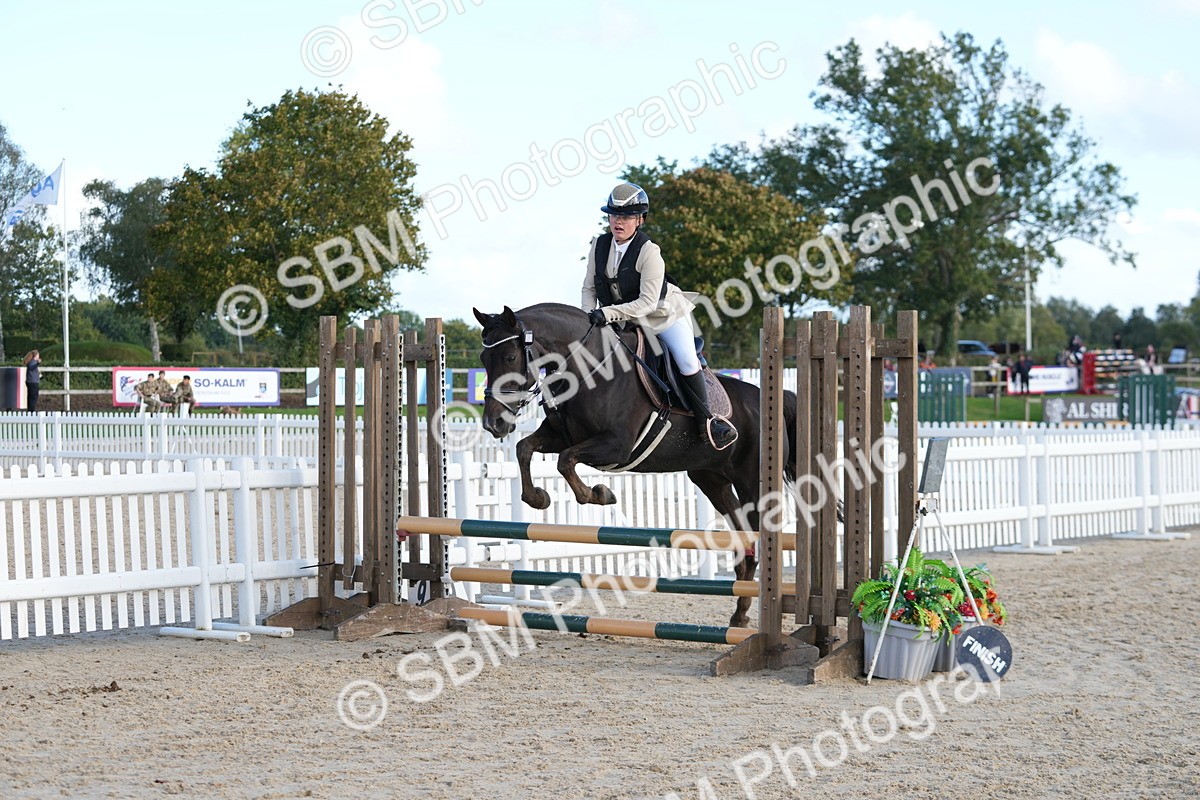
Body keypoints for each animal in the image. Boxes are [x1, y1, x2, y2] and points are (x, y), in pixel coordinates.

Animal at [472, 302, 798, 628]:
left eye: (510, 357)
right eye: (483, 359)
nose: (493, 424)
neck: (588, 366)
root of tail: (774, 399)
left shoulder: (616, 444)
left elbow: (566, 461)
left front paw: (600, 494)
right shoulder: (560, 435)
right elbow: (524, 448)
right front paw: (538, 498)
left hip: (752, 484)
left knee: (758, 536)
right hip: (712, 481)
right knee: (744, 541)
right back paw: (739, 615)